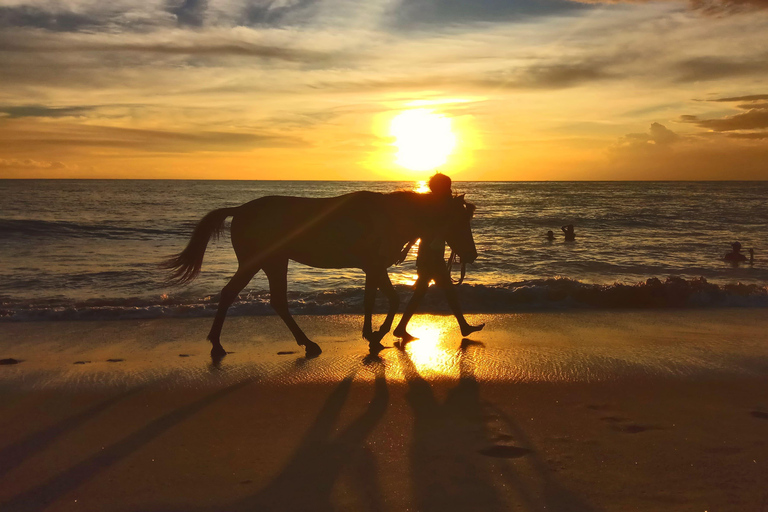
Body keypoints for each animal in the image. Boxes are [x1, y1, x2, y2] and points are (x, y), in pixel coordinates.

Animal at [163, 190, 477, 359]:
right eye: (461, 221)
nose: (472, 255)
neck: (390, 216)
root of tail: (240, 209)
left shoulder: (371, 268)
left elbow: (372, 300)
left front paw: (370, 334)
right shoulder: (375, 267)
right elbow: (391, 299)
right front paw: (378, 334)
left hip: (275, 262)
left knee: (276, 301)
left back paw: (306, 343)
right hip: (259, 261)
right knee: (234, 294)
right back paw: (218, 344)